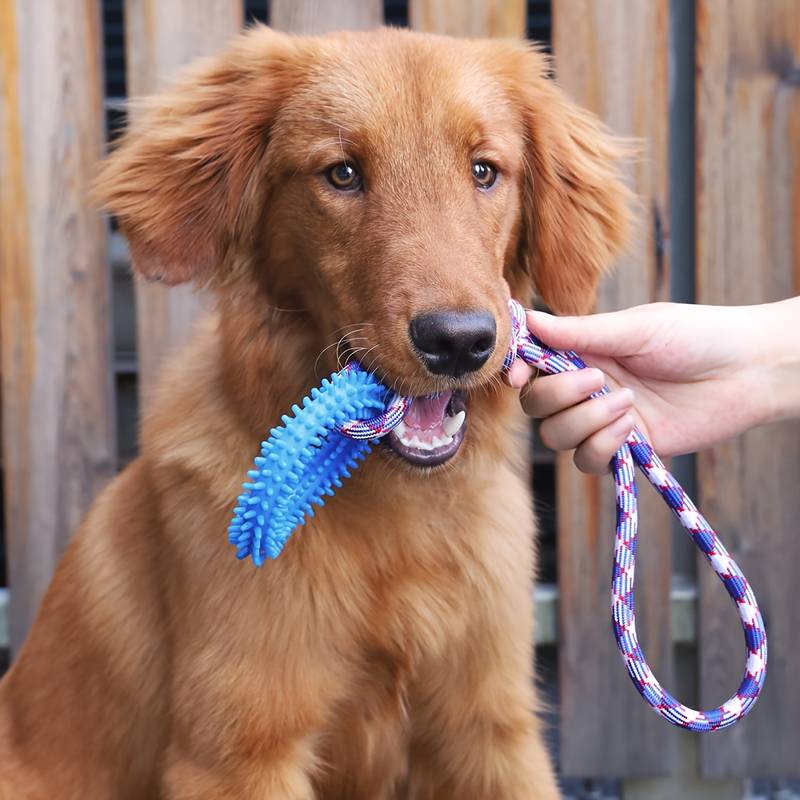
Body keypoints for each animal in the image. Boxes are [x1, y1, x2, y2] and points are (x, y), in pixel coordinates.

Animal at [0, 25, 628, 800]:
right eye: (343, 174)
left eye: (485, 171)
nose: (458, 341)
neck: (397, 521)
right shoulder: (238, 752)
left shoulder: (490, 732)